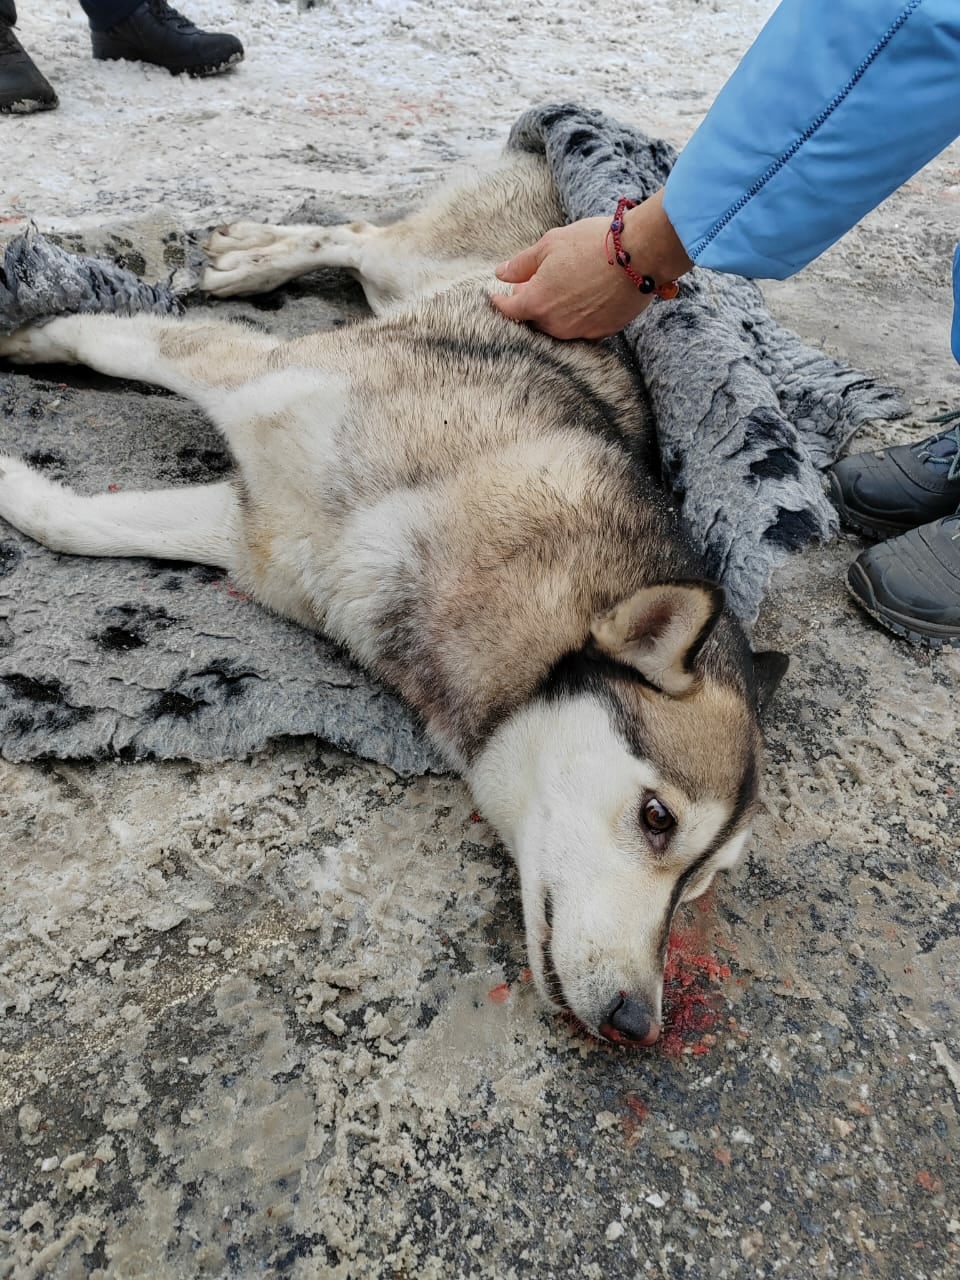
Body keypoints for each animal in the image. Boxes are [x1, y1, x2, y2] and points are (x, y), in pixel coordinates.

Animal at [0, 152, 788, 1049]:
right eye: (659, 819)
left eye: (701, 883)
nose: (637, 1021)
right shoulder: (257, 377)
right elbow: (99, 334)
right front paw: (29, 332)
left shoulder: (258, 540)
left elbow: (72, 521)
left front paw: (17, 482)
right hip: (433, 272)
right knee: (355, 235)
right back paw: (243, 260)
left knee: (353, 241)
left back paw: (244, 255)